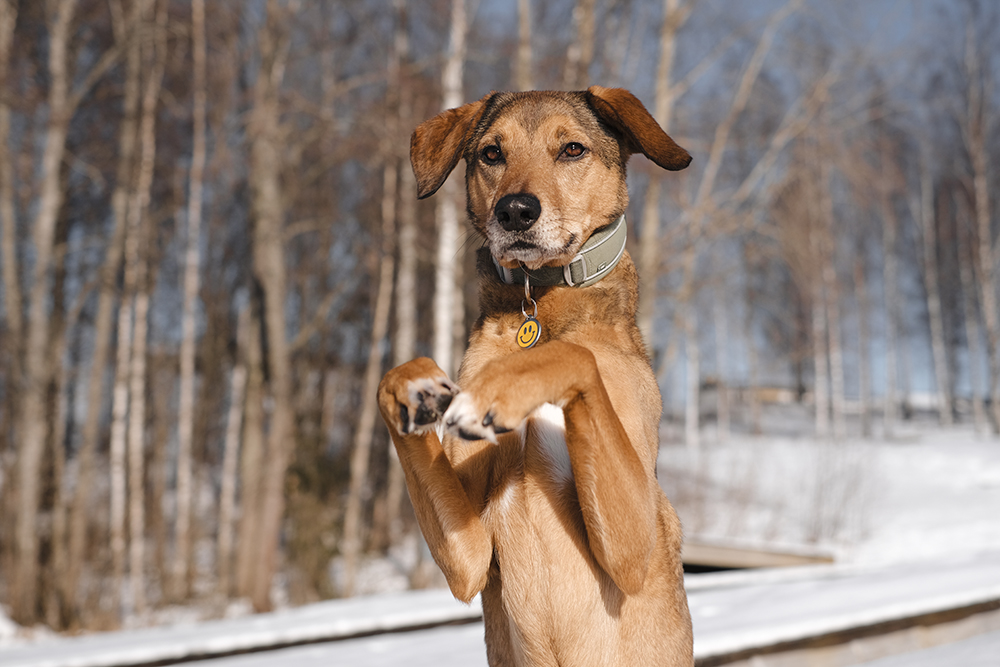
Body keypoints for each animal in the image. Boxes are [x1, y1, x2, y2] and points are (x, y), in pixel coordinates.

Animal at [376, 88, 696, 667]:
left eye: (572, 149)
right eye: (491, 153)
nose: (515, 211)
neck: (539, 301)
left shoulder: (635, 548)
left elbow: (574, 356)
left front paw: (505, 384)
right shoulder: (470, 558)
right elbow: (394, 374)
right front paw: (417, 390)